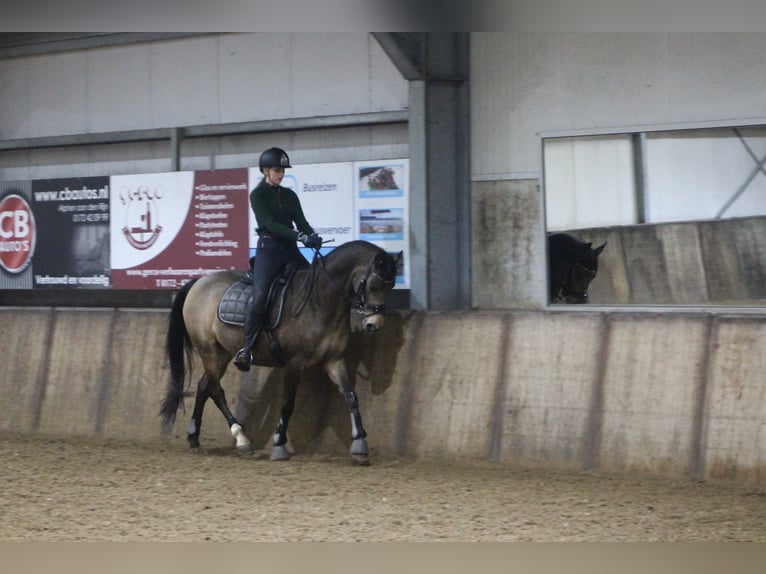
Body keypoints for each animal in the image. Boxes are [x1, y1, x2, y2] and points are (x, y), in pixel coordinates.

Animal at [161, 241, 402, 466]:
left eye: (391, 286)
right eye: (374, 284)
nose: (374, 324)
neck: (318, 301)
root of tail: (199, 282)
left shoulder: (334, 360)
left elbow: (351, 397)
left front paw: (360, 445)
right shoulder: (295, 362)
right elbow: (288, 404)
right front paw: (279, 445)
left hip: (221, 354)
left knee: (204, 386)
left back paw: (194, 438)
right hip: (209, 350)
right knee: (215, 389)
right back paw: (241, 438)